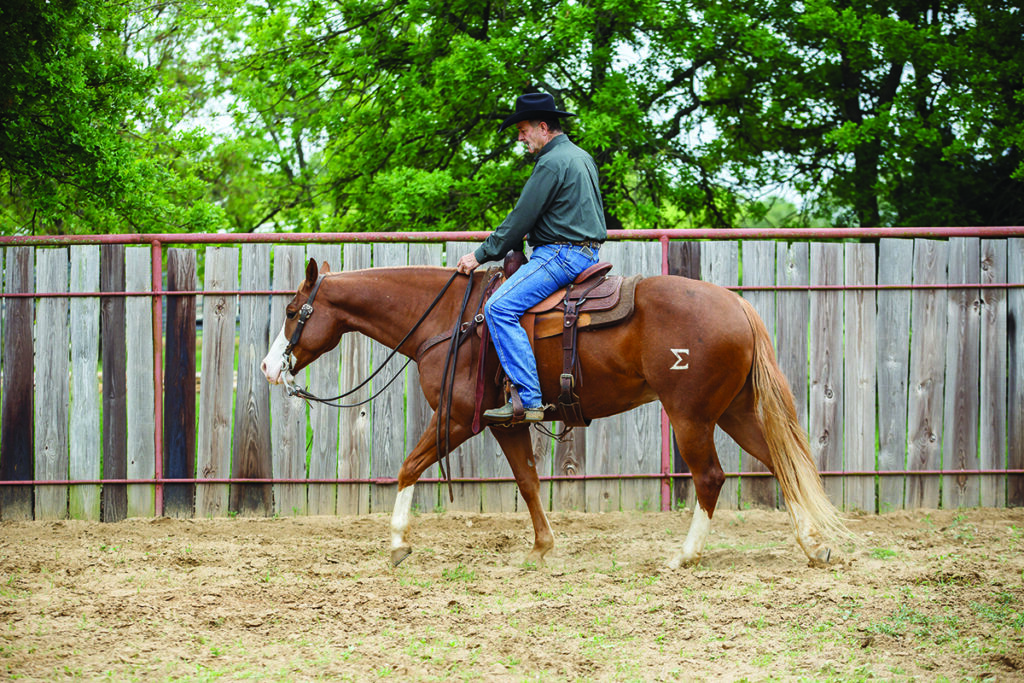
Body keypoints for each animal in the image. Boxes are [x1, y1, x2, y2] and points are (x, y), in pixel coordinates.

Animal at [264, 259, 847, 569]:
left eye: (293, 311)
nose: (271, 367)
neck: (453, 321)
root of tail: (737, 304)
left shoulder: (454, 418)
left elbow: (409, 467)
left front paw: (399, 543)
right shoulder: (505, 421)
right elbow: (527, 482)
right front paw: (543, 547)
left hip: (692, 416)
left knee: (710, 477)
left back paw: (683, 556)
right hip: (734, 412)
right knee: (781, 464)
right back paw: (812, 545)